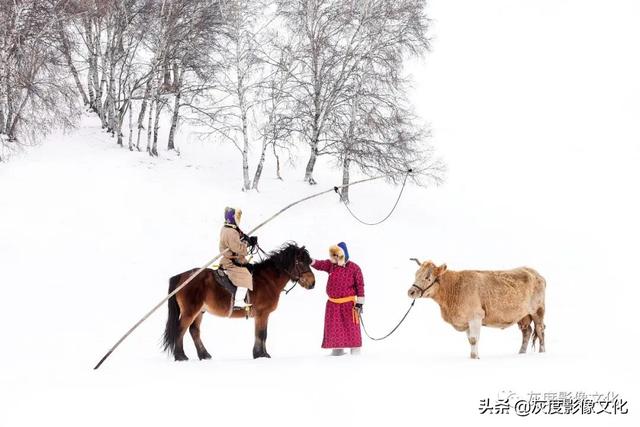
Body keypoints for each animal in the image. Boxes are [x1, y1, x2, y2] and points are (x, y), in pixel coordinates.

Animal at [162, 242, 316, 360]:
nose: (312, 283)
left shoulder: (262, 315)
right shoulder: (262, 314)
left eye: (309, 262)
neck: (268, 280)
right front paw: (261, 355)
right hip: (190, 311)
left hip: (200, 311)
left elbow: (262, 334)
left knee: (194, 331)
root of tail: (183, 276)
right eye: (300, 262)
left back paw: (204, 355)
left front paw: (261, 354)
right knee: (180, 330)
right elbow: (262, 334)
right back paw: (181, 356)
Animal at [410, 260, 544, 358]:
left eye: (428, 277)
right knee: (527, 331)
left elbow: (474, 340)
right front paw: (475, 356)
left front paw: (474, 357)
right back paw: (521, 353)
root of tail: (533, 271)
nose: (410, 292)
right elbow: (470, 340)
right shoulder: (466, 321)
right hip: (523, 315)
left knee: (540, 330)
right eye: (416, 274)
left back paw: (542, 352)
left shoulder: (475, 317)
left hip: (538, 310)